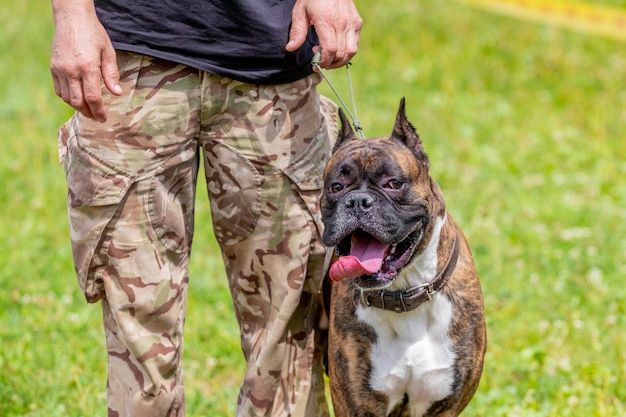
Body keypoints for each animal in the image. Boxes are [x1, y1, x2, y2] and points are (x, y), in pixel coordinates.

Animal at [320, 98, 486, 416]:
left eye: (393, 183)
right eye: (335, 188)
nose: (357, 201)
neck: (405, 293)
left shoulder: (443, 406)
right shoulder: (359, 405)